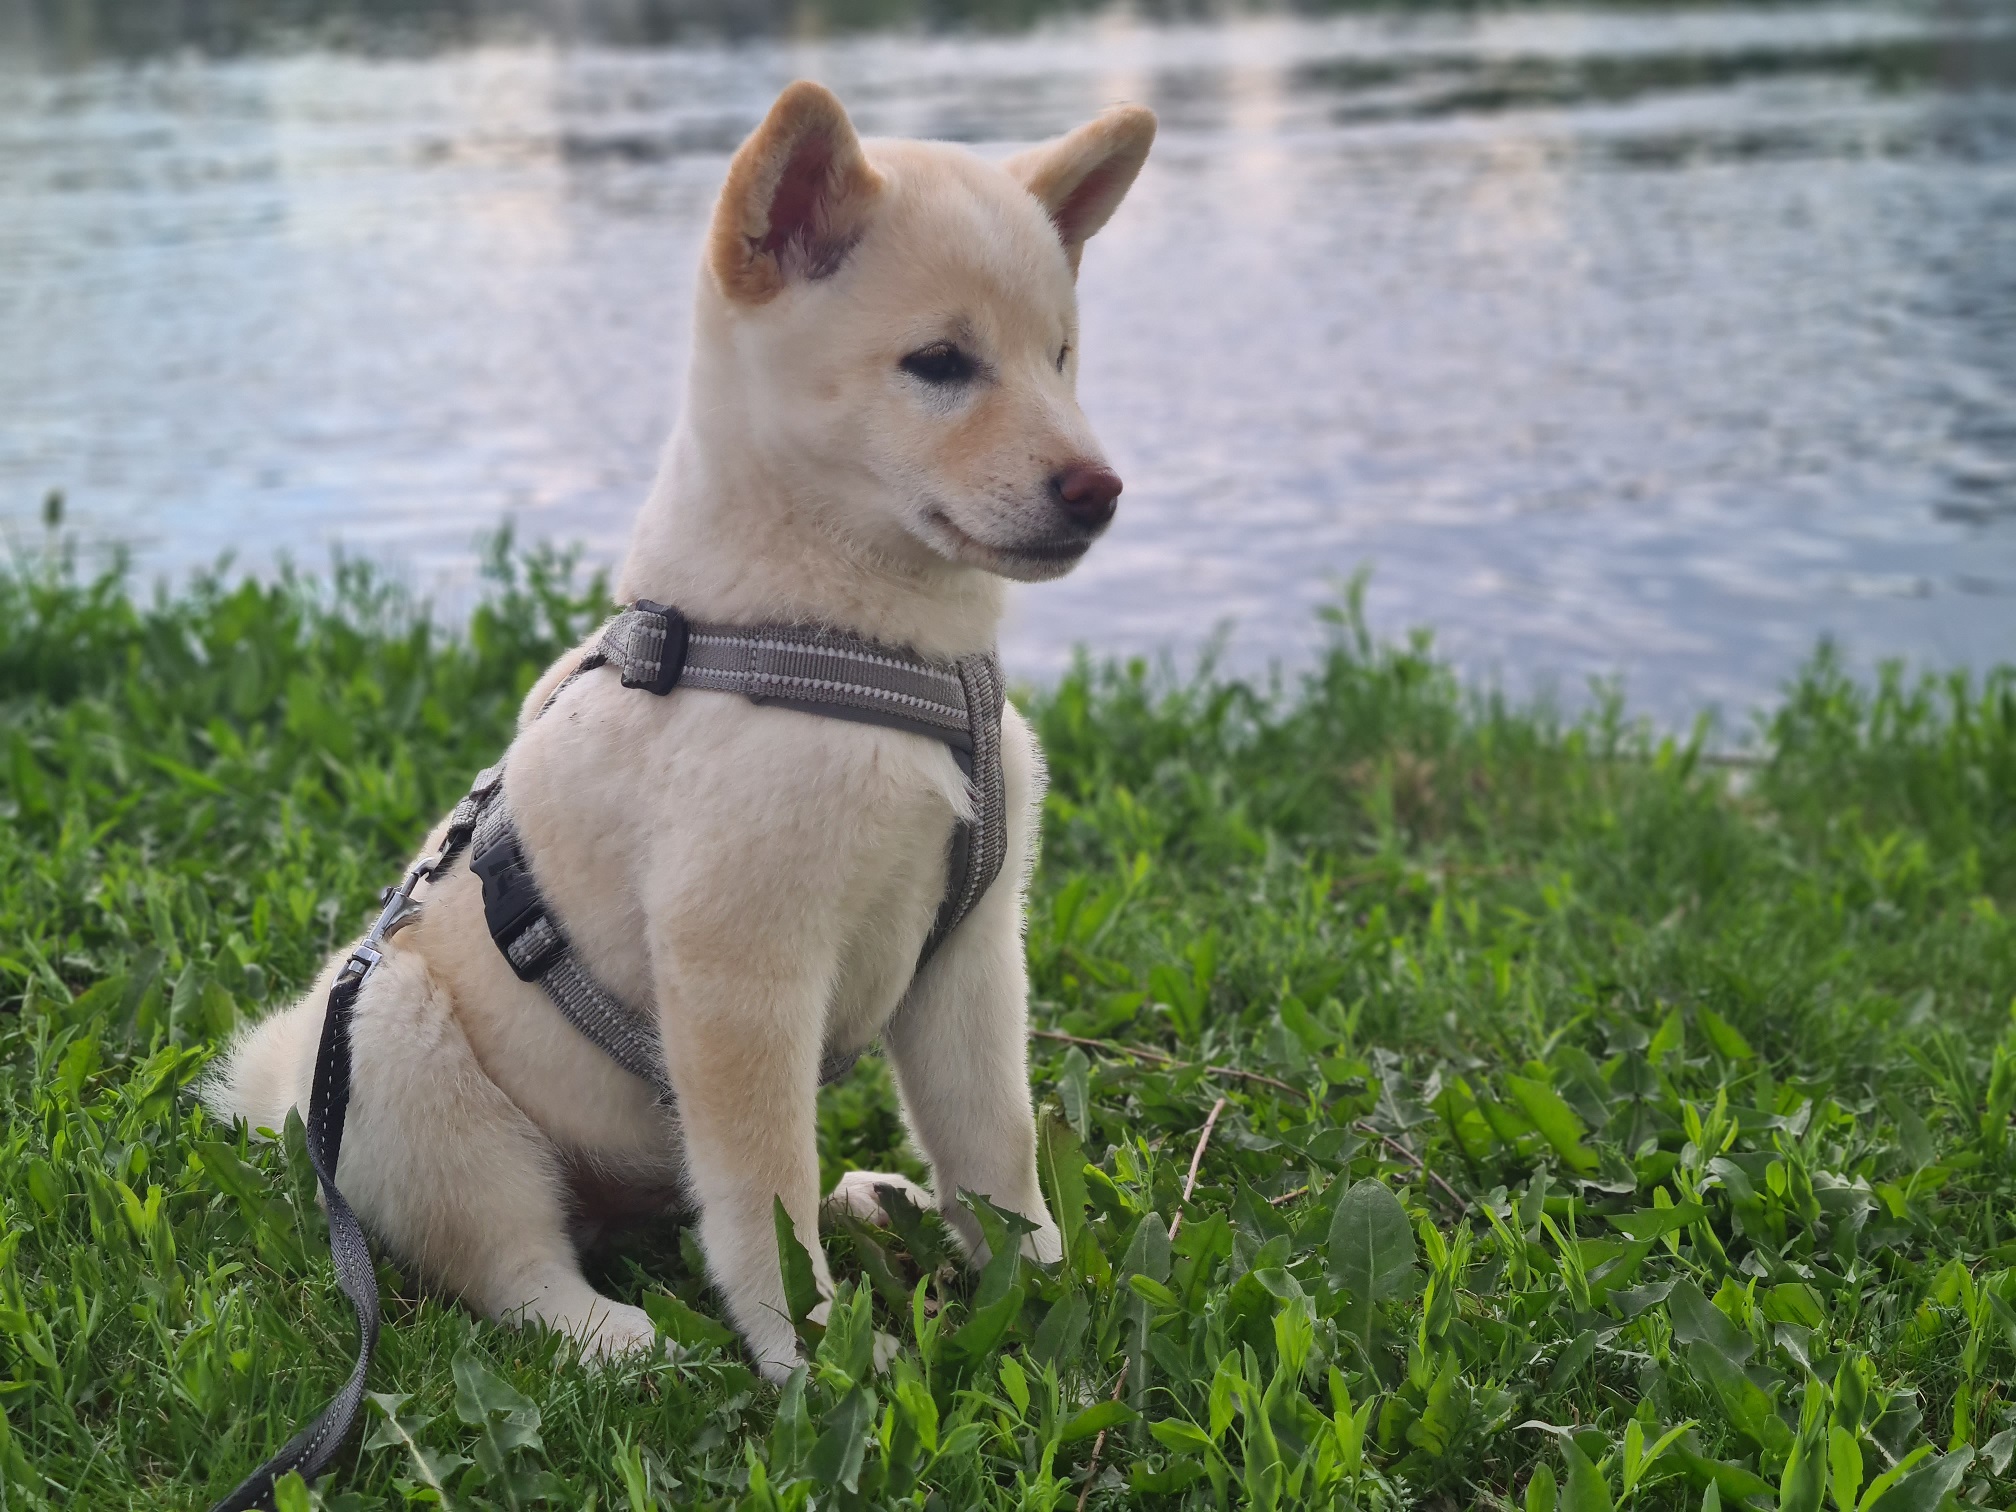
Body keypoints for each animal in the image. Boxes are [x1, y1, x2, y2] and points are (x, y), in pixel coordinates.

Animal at [208, 82, 1153, 1387]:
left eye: (1061, 357)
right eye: (940, 364)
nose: (1098, 490)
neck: (855, 650)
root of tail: (290, 1089)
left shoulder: (970, 953)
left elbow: (992, 1147)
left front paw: (1043, 1281)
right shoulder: (739, 974)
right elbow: (764, 1197)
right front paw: (816, 1354)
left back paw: (877, 1199)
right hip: (411, 1058)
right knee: (509, 1264)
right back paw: (616, 1336)